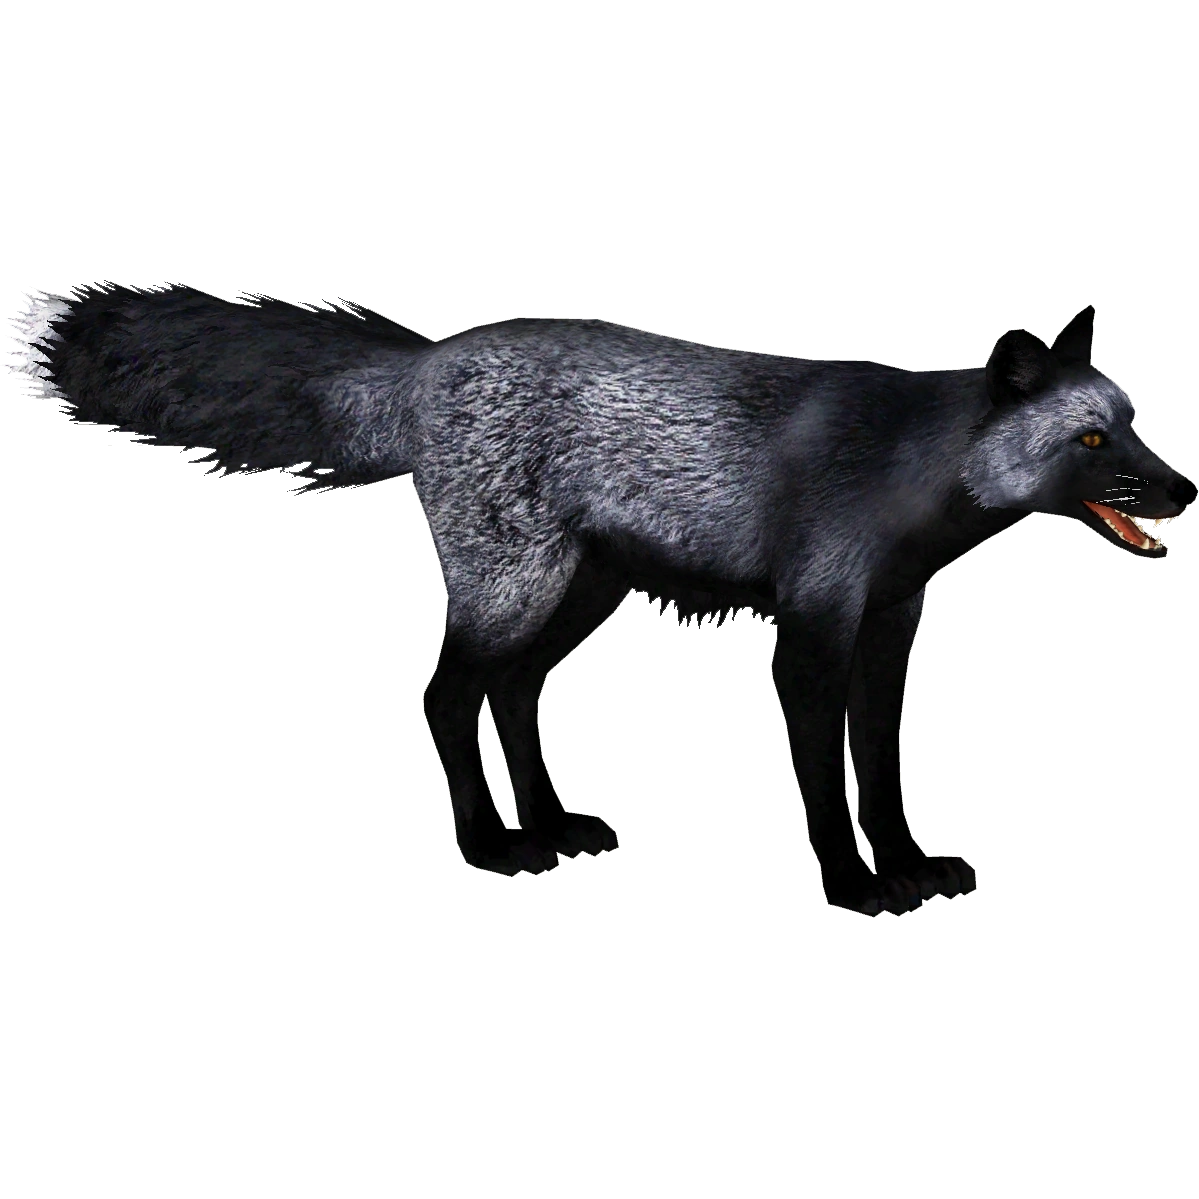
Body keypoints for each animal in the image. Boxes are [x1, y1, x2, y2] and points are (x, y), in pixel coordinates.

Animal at [5, 281, 1193, 916]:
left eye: (1133, 423)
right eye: (1093, 441)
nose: (1185, 487)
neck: (911, 470)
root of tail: (433, 359)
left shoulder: (887, 633)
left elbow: (885, 770)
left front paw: (904, 865)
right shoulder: (807, 633)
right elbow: (826, 781)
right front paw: (852, 888)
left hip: (575, 597)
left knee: (513, 694)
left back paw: (544, 823)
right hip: (512, 588)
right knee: (445, 696)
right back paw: (491, 848)